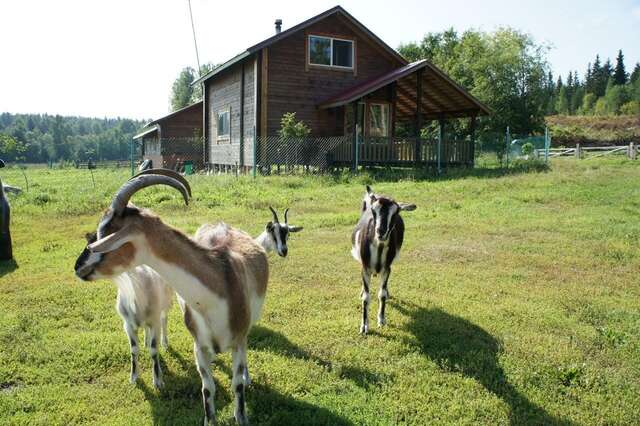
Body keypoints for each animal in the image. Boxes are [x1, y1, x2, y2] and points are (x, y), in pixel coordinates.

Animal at [74, 171, 267, 425]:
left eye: (105, 232)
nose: (78, 267)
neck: (215, 293)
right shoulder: (199, 346)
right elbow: (207, 388)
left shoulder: (238, 340)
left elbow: (236, 385)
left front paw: (241, 415)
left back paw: (248, 377)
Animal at [351, 185, 416, 334]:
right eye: (373, 210)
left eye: (396, 212)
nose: (381, 232)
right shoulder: (365, 268)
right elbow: (366, 297)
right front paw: (364, 326)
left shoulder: (387, 268)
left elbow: (382, 294)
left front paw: (381, 319)